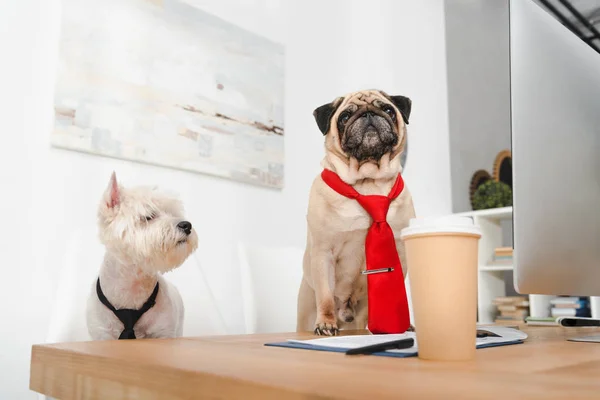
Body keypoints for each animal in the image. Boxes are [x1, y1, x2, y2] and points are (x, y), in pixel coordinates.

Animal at [296, 90, 418, 334]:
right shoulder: (324, 252)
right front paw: (326, 323)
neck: (368, 183)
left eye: (388, 110)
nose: (369, 114)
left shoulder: (399, 253)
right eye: (344, 117)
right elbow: (325, 295)